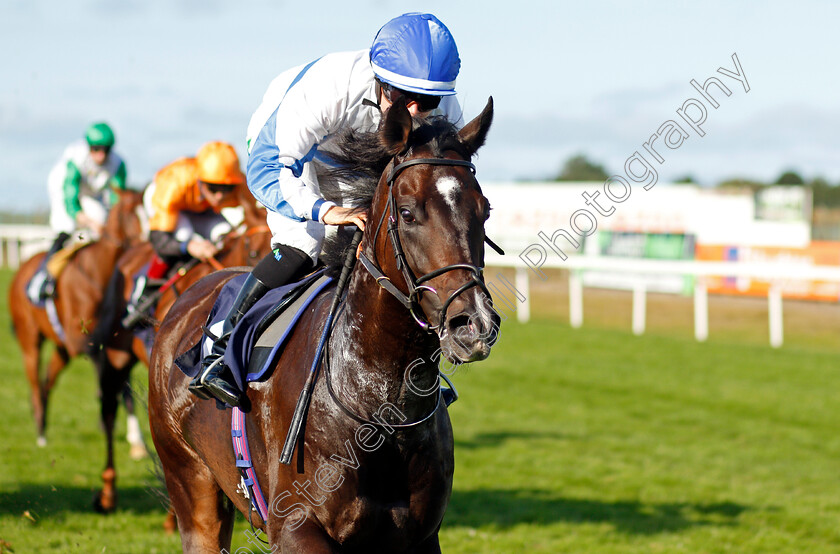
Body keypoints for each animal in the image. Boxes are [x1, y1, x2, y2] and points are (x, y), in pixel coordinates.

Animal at [9, 188, 147, 454]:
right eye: (129, 214)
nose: (148, 244)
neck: (99, 273)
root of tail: (22, 268)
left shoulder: (111, 342)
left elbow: (123, 385)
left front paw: (136, 440)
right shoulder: (83, 341)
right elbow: (115, 384)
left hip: (61, 349)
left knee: (47, 382)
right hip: (29, 338)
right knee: (35, 384)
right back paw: (40, 434)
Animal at [149, 97, 498, 548]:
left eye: (485, 210)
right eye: (407, 213)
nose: (473, 324)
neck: (381, 406)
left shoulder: (420, 535)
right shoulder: (296, 527)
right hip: (192, 487)